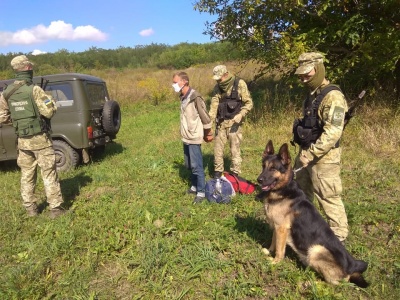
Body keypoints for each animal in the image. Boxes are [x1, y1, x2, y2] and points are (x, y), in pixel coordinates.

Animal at [258, 139, 368, 288]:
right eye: (263, 166)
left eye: (273, 168)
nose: (259, 180)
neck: (283, 190)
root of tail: (351, 268)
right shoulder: (276, 227)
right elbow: (274, 242)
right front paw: (269, 252)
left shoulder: (281, 228)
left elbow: (280, 250)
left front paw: (275, 262)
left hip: (316, 250)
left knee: (334, 283)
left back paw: (310, 283)